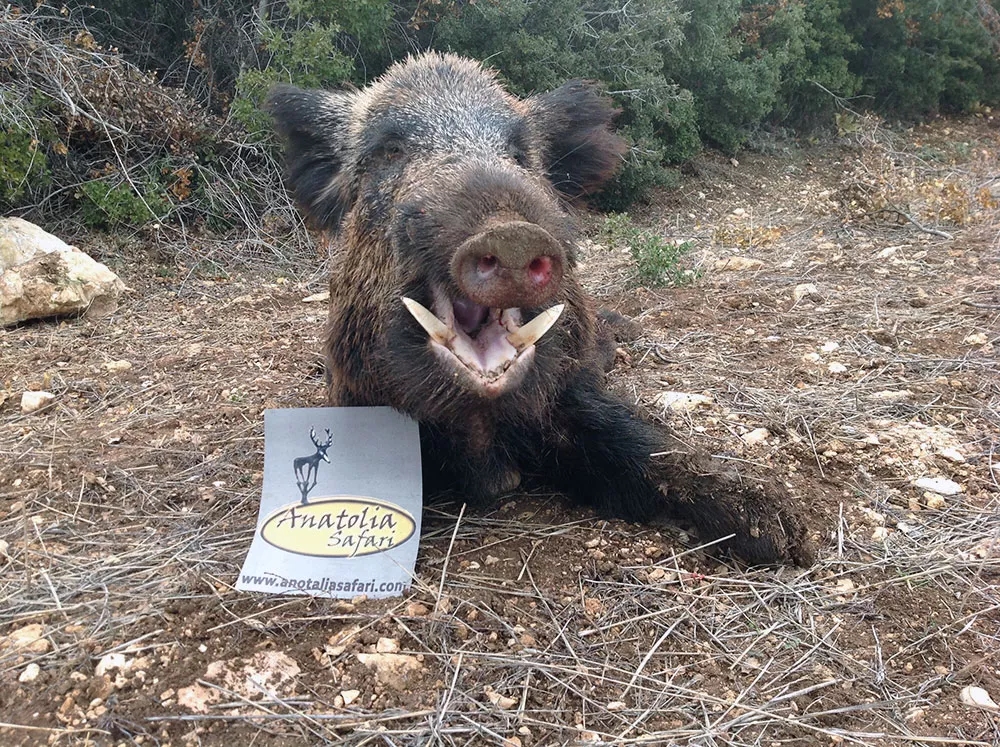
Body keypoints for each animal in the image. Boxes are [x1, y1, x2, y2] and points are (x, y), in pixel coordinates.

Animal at [268, 53, 812, 565]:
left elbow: (645, 445)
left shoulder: (571, 397)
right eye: (390, 150)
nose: (511, 232)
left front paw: (784, 535)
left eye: (517, 152)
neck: (483, 435)